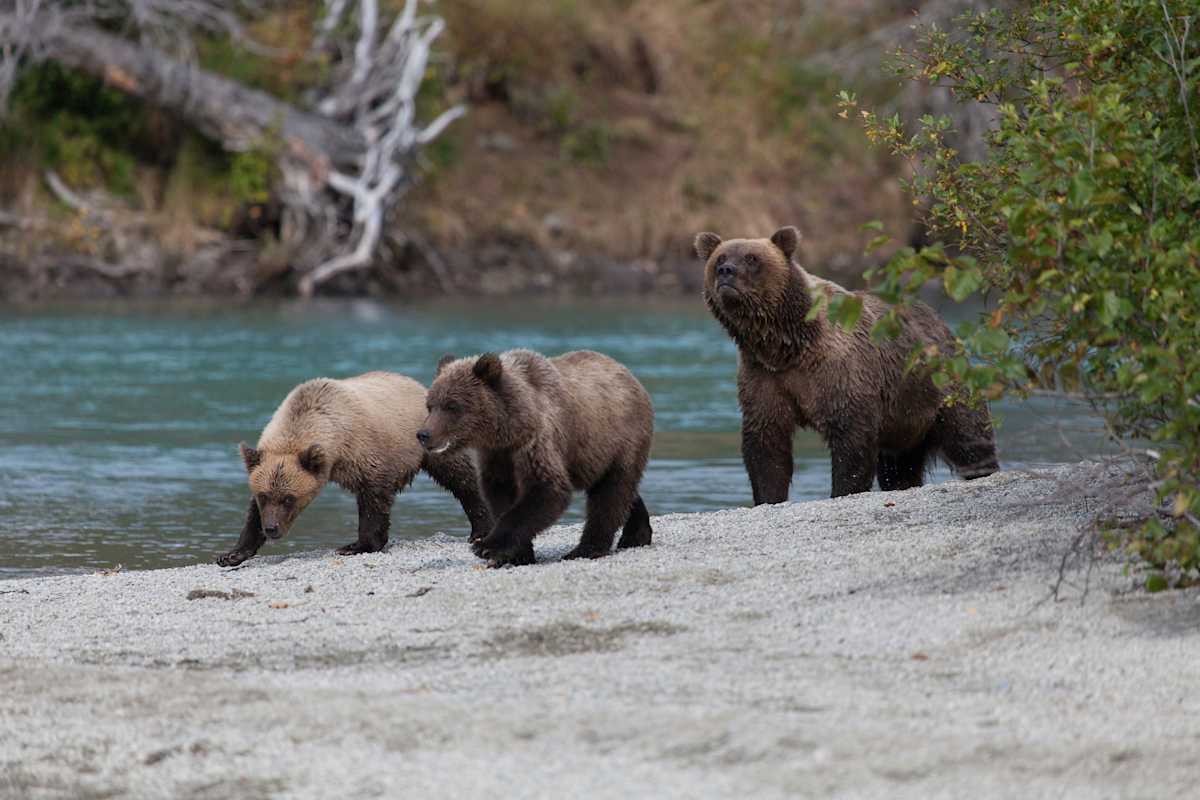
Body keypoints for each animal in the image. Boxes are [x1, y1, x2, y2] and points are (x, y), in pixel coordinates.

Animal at [216, 371, 493, 567]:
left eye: (289, 498)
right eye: (264, 496)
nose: (271, 528)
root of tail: (417, 384)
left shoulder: (364, 452)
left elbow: (373, 500)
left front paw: (357, 545)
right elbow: (251, 514)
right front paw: (232, 554)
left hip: (429, 437)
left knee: (461, 478)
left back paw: (480, 529)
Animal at [417, 349, 654, 567]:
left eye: (452, 405)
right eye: (430, 405)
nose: (423, 434)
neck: (510, 428)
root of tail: (628, 373)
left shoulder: (536, 441)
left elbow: (547, 490)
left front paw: (486, 546)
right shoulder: (498, 456)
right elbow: (500, 494)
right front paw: (518, 554)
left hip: (620, 439)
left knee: (610, 493)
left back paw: (587, 549)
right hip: (596, 456)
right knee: (622, 491)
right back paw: (636, 535)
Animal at [694, 225, 998, 503]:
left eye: (752, 258)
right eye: (720, 258)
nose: (726, 271)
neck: (785, 345)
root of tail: (943, 324)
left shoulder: (839, 371)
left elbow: (851, 438)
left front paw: (842, 489)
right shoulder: (764, 376)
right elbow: (766, 442)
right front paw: (769, 496)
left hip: (941, 390)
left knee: (968, 439)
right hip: (904, 418)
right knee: (898, 468)